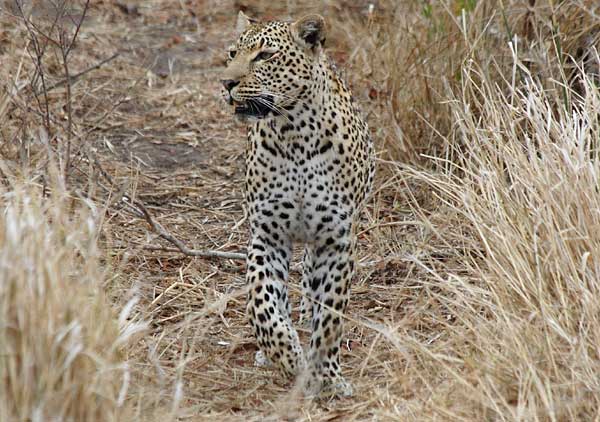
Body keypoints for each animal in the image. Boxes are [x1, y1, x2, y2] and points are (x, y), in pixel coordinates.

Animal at [220, 11, 372, 398]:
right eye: (232, 53)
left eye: (264, 56)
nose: (226, 83)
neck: (295, 134)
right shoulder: (268, 234)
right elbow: (262, 300)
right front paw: (285, 353)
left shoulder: (336, 239)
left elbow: (330, 313)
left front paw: (327, 374)